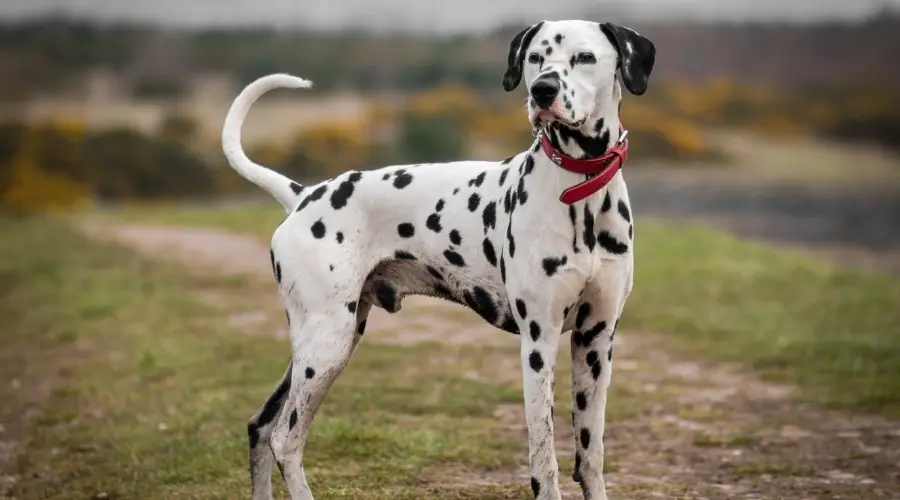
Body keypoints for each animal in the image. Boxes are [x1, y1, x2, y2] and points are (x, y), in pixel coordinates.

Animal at [222, 17, 656, 498]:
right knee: (285, 439)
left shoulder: (595, 340)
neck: (581, 193)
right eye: (535, 58)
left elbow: (590, 454)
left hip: (320, 346)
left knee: (260, 427)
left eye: (584, 57)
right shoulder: (538, 343)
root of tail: (303, 195)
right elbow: (545, 460)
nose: (543, 90)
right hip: (326, 346)